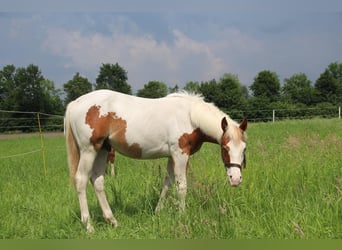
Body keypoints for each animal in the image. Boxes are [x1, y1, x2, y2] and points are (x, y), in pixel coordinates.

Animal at [65, 89, 246, 231]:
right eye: (225, 148)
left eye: (244, 149)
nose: (236, 179)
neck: (190, 117)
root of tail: (75, 103)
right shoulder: (180, 154)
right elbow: (182, 186)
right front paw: (182, 216)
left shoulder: (172, 156)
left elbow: (167, 183)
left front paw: (158, 212)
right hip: (89, 150)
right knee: (81, 180)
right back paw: (89, 226)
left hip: (103, 149)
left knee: (97, 181)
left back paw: (112, 221)